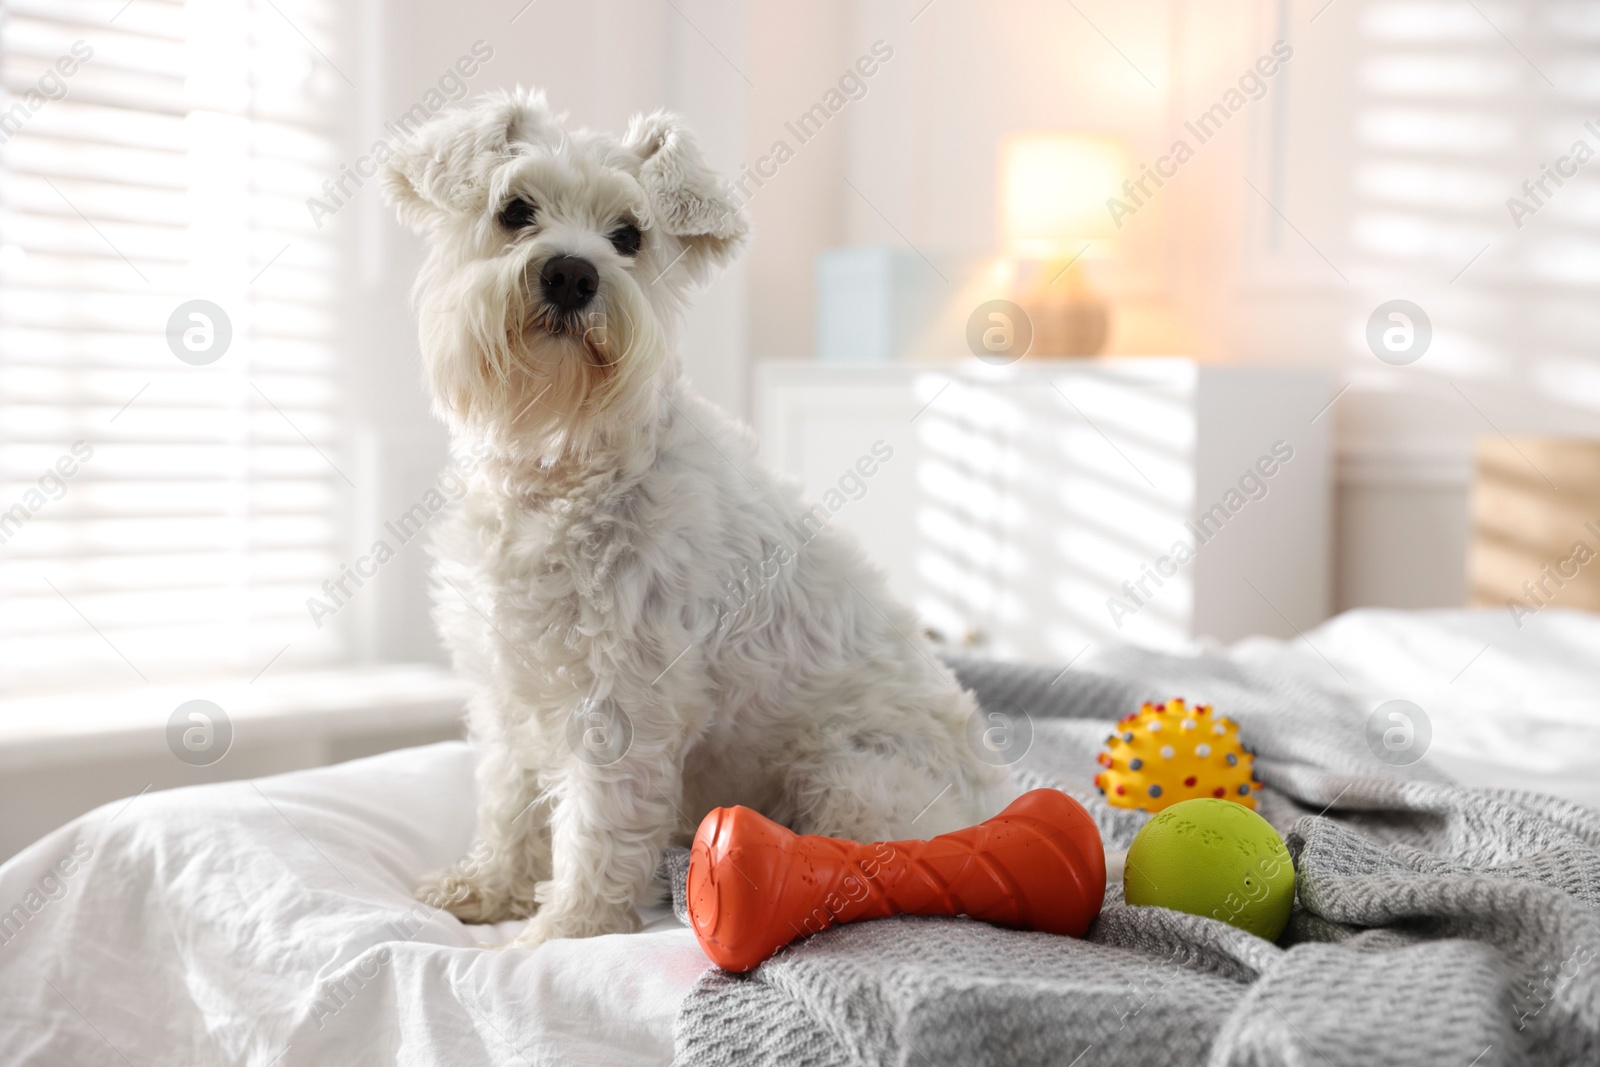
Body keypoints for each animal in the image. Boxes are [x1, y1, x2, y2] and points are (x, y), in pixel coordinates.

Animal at [384, 87, 1011, 947]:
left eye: (629, 235)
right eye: (514, 210)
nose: (572, 273)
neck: (563, 466)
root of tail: (995, 798)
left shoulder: (620, 702)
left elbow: (595, 822)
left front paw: (568, 928)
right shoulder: (509, 682)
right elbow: (508, 797)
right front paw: (490, 885)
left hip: (847, 777)